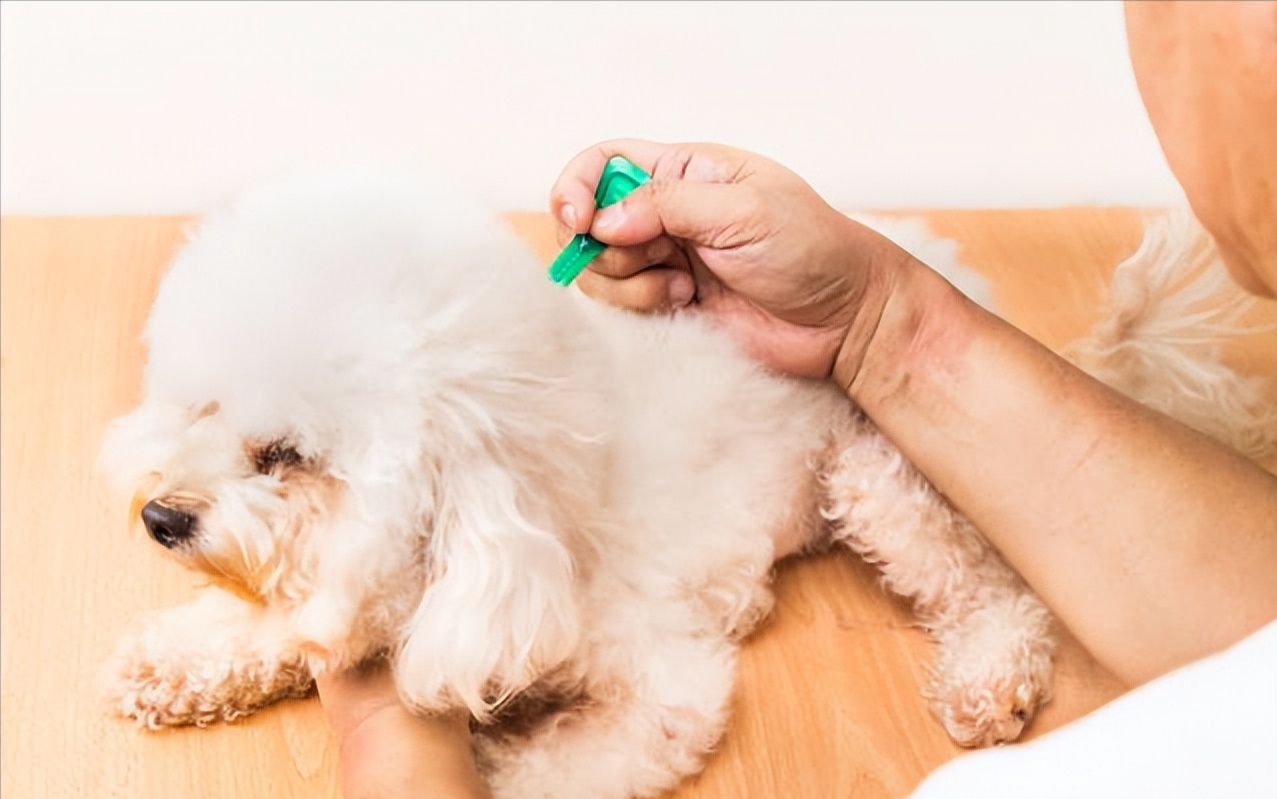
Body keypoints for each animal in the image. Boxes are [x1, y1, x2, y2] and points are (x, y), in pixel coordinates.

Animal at [102, 171, 1277, 791]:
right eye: (199, 409)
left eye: (286, 456)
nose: (160, 516)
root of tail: (951, 273)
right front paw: (185, 658)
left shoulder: (661, 681)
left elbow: (565, 761)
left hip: (885, 474)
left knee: (994, 591)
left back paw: (989, 673)